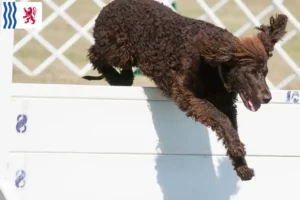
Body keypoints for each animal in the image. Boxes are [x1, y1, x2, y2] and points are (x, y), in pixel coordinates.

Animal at [84, 0, 288, 181]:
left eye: (265, 73)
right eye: (250, 73)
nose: (267, 98)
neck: (213, 66)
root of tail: (112, 4)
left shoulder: (226, 104)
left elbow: (231, 127)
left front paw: (241, 165)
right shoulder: (188, 96)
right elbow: (221, 119)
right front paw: (238, 150)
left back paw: (123, 78)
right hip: (117, 47)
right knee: (96, 54)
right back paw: (115, 77)